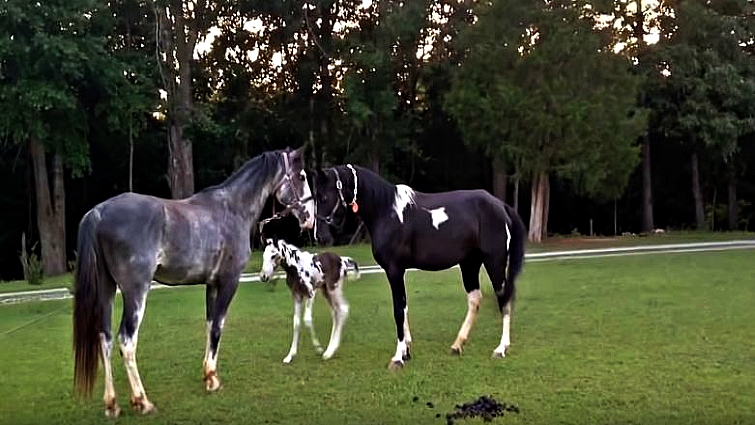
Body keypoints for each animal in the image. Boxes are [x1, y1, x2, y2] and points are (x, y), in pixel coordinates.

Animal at [72, 147, 315, 418]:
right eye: (301, 176)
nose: (310, 218)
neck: (232, 208)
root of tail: (99, 213)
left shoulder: (212, 284)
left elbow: (210, 326)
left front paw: (209, 375)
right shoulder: (229, 281)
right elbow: (218, 326)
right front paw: (213, 381)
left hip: (106, 290)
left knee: (104, 339)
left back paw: (112, 404)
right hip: (135, 292)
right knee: (126, 341)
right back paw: (142, 401)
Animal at [312, 164, 526, 370]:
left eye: (324, 197)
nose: (320, 236)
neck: (386, 211)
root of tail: (500, 205)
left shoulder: (394, 270)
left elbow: (398, 310)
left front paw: (397, 358)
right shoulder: (399, 271)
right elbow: (404, 306)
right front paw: (406, 352)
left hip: (494, 262)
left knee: (504, 300)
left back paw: (500, 349)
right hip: (470, 264)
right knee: (475, 299)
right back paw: (457, 345)